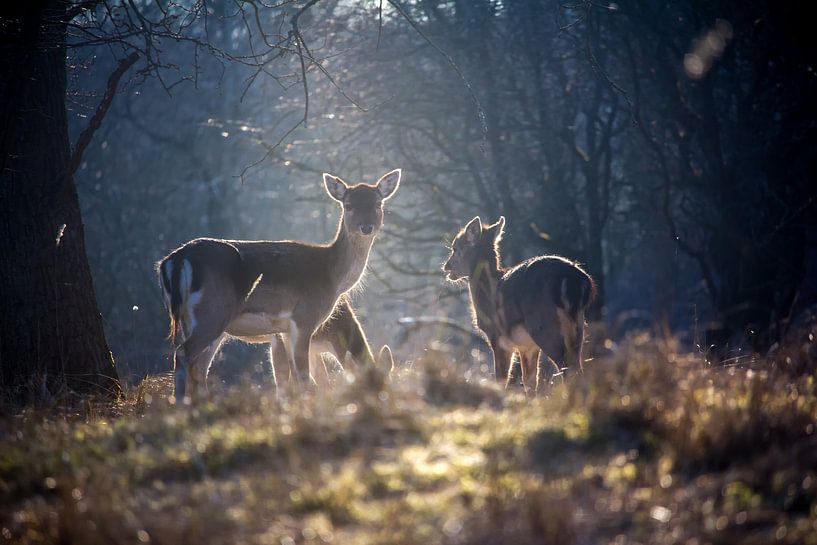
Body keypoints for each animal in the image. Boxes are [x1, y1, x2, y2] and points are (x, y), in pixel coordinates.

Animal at [158, 168, 400, 398]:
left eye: (378, 203)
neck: (332, 277)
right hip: (212, 312)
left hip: (195, 320)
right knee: (184, 355)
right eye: (348, 205)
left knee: (198, 366)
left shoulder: (284, 331)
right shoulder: (303, 318)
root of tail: (175, 260)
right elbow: (304, 378)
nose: (366, 227)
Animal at [444, 215, 596, 394]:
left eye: (455, 248)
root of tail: (576, 281)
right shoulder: (527, 346)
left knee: (567, 368)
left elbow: (501, 378)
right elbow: (529, 382)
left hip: (544, 325)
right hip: (578, 326)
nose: (446, 266)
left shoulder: (498, 337)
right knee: (577, 368)